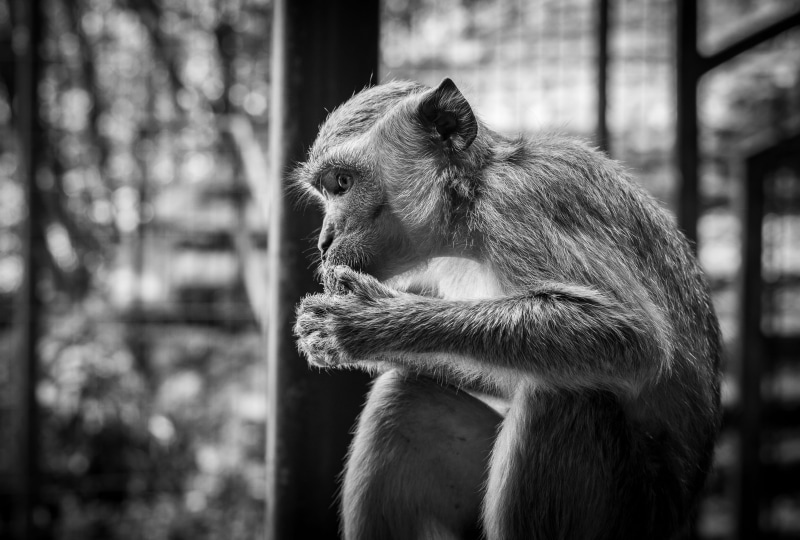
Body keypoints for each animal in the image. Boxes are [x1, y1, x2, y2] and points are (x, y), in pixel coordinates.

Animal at [292, 78, 721, 540]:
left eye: (341, 182)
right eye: (327, 189)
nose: (324, 241)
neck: (470, 198)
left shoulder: (519, 205)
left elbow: (632, 335)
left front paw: (369, 321)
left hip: (626, 510)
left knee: (567, 392)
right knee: (404, 397)